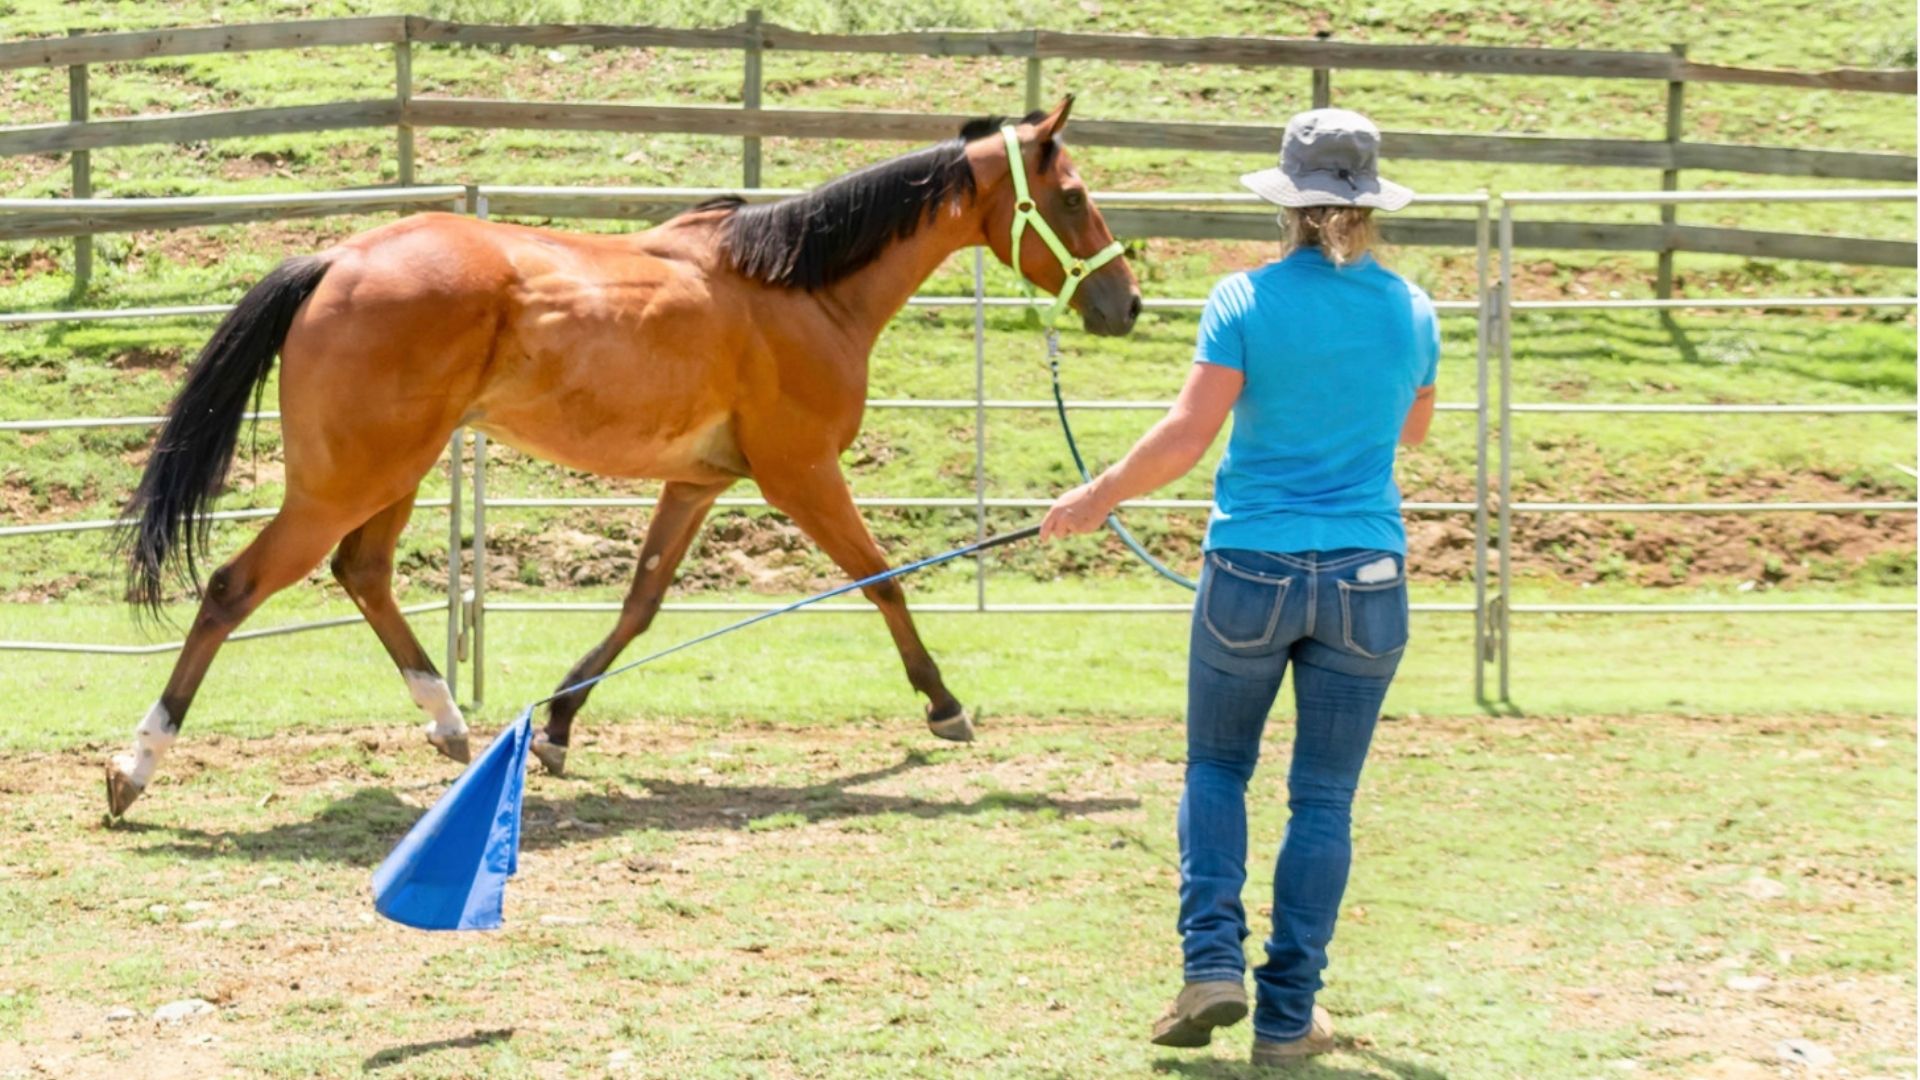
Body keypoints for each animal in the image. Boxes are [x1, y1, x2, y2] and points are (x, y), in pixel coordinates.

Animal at [108, 96, 1136, 810]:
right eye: (1074, 196)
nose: (1122, 302)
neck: (799, 290)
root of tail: (336, 259)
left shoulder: (696, 481)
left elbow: (640, 605)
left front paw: (559, 724)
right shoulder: (801, 474)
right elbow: (882, 579)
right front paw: (945, 705)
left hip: (394, 471)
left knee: (364, 575)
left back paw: (451, 725)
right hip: (346, 480)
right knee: (234, 589)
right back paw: (135, 765)